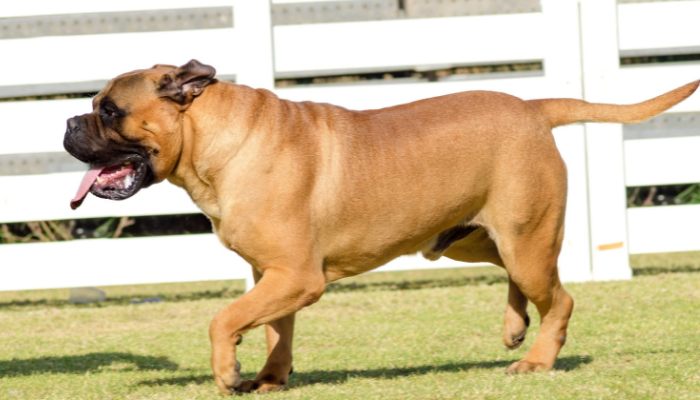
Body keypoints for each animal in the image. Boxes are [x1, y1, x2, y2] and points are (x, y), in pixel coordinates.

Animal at [63, 61, 696, 396]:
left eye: (110, 111)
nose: (68, 122)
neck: (215, 141)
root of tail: (533, 109)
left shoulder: (297, 276)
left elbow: (224, 320)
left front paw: (228, 372)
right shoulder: (274, 276)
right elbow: (275, 330)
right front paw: (270, 377)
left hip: (525, 239)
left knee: (560, 300)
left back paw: (536, 360)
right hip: (478, 239)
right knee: (526, 283)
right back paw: (515, 327)